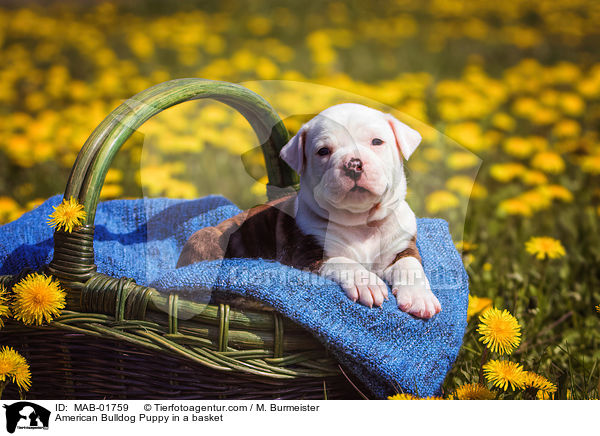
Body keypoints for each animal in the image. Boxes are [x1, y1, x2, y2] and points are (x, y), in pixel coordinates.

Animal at [177, 103, 440, 318]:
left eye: (377, 142)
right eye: (323, 151)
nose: (353, 164)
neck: (361, 222)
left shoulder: (402, 245)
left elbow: (411, 265)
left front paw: (420, 297)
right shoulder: (306, 255)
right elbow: (343, 261)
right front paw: (366, 282)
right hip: (205, 238)